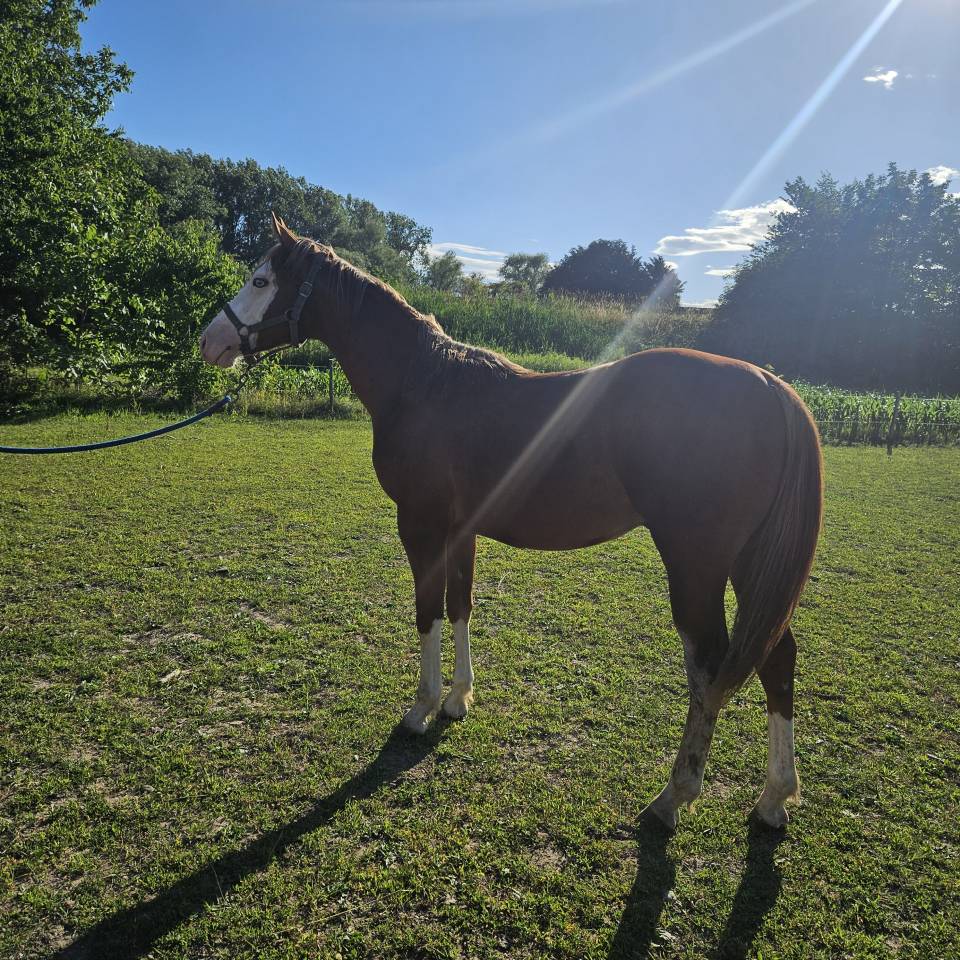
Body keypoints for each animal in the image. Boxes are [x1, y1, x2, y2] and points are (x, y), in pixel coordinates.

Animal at [199, 215, 823, 830]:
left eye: (260, 280)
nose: (210, 341)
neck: (424, 382)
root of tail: (771, 387)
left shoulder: (420, 526)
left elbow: (427, 611)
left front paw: (422, 708)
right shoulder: (460, 530)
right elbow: (460, 606)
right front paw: (458, 700)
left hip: (696, 565)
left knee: (711, 667)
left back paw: (676, 795)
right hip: (748, 563)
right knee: (777, 656)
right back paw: (774, 797)